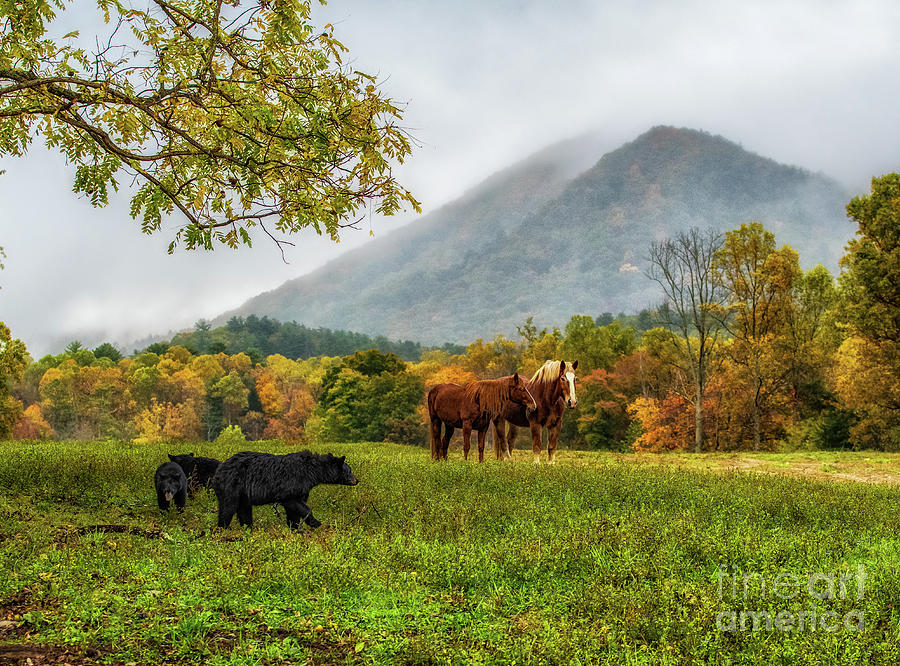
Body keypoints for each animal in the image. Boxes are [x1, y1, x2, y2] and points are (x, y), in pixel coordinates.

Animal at [211, 451, 358, 529]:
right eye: (349, 471)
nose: (357, 480)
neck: (311, 471)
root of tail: (220, 468)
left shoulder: (302, 488)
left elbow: (294, 509)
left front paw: (295, 527)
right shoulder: (291, 485)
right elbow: (296, 504)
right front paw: (315, 523)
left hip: (243, 494)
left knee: (244, 510)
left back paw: (248, 528)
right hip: (232, 485)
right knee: (228, 507)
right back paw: (224, 528)